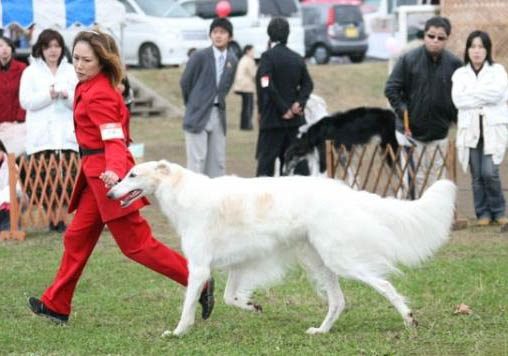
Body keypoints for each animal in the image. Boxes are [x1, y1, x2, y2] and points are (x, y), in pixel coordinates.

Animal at [107, 161, 456, 336]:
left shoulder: (200, 266)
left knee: (384, 284)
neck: (182, 191)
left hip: (339, 259)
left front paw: (178, 332)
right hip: (318, 261)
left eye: (132, 174)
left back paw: (409, 319)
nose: (109, 193)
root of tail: (344, 192)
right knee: (338, 302)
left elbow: (188, 306)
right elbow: (231, 298)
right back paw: (321, 331)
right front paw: (254, 307)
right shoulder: (240, 264)